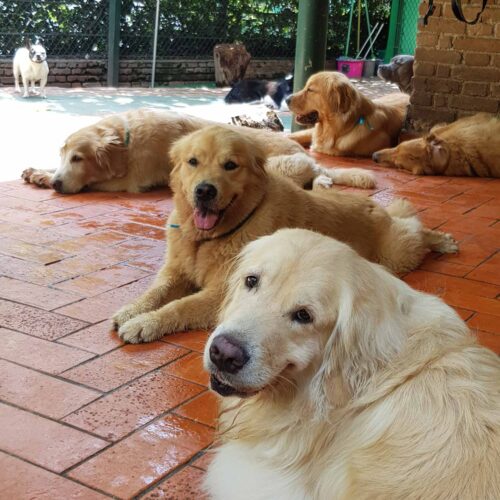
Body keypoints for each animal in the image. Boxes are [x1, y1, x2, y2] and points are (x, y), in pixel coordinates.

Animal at [113, 125, 458, 344]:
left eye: (230, 165)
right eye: (193, 162)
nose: (204, 191)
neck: (209, 238)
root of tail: (376, 207)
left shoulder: (222, 292)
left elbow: (178, 307)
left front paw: (144, 324)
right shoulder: (175, 271)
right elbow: (155, 292)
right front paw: (132, 310)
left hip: (396, 253)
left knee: (415, 229)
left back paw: (444, 240)